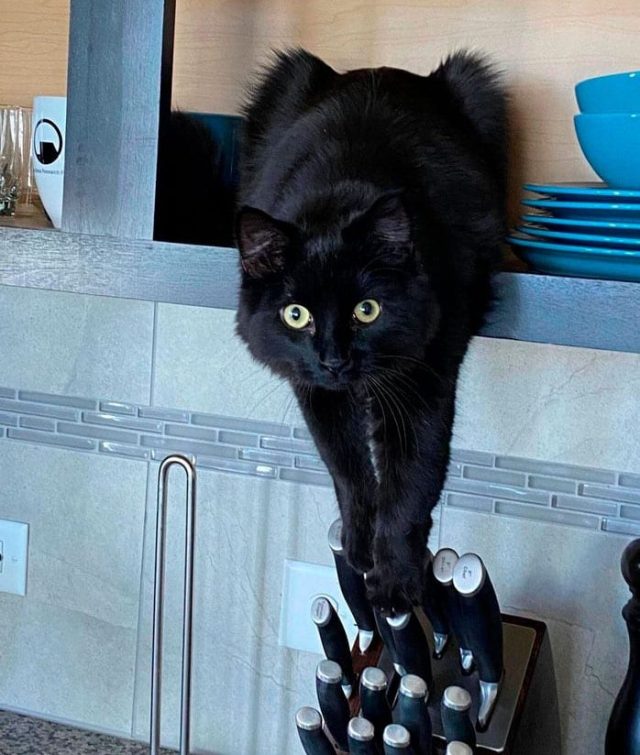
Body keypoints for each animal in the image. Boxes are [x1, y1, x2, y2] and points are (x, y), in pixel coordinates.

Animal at [234, 48, 504, 616]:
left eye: (366, 310)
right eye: (296, 315)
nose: (334, 358)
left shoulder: (423, 378)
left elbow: (410, 482)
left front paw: (395, 579)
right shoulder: (316, 390)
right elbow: (349, 471)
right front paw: (358, 547)